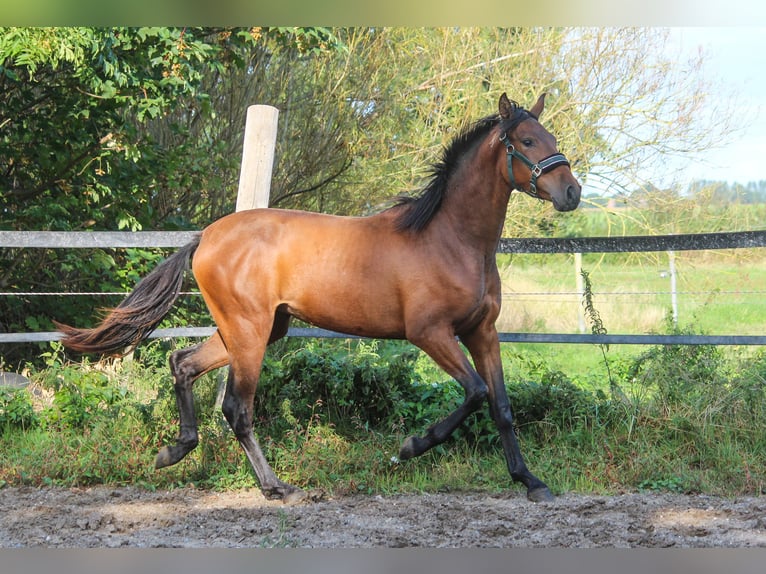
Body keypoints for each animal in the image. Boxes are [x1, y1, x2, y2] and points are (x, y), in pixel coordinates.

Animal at [55, 93, 584, 504]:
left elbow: (501, 407)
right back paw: (276, 487)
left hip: (256, 329)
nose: (572, 193)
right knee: (237, 408)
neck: (450, 239)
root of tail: (205, 238)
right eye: (526, 141)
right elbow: (475, 393)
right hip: (250, 332)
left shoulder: (482, 332)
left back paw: (174, 451)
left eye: (550, 136)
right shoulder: (429, 333)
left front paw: (531, 481)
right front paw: (410, 447)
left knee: (182, 363)